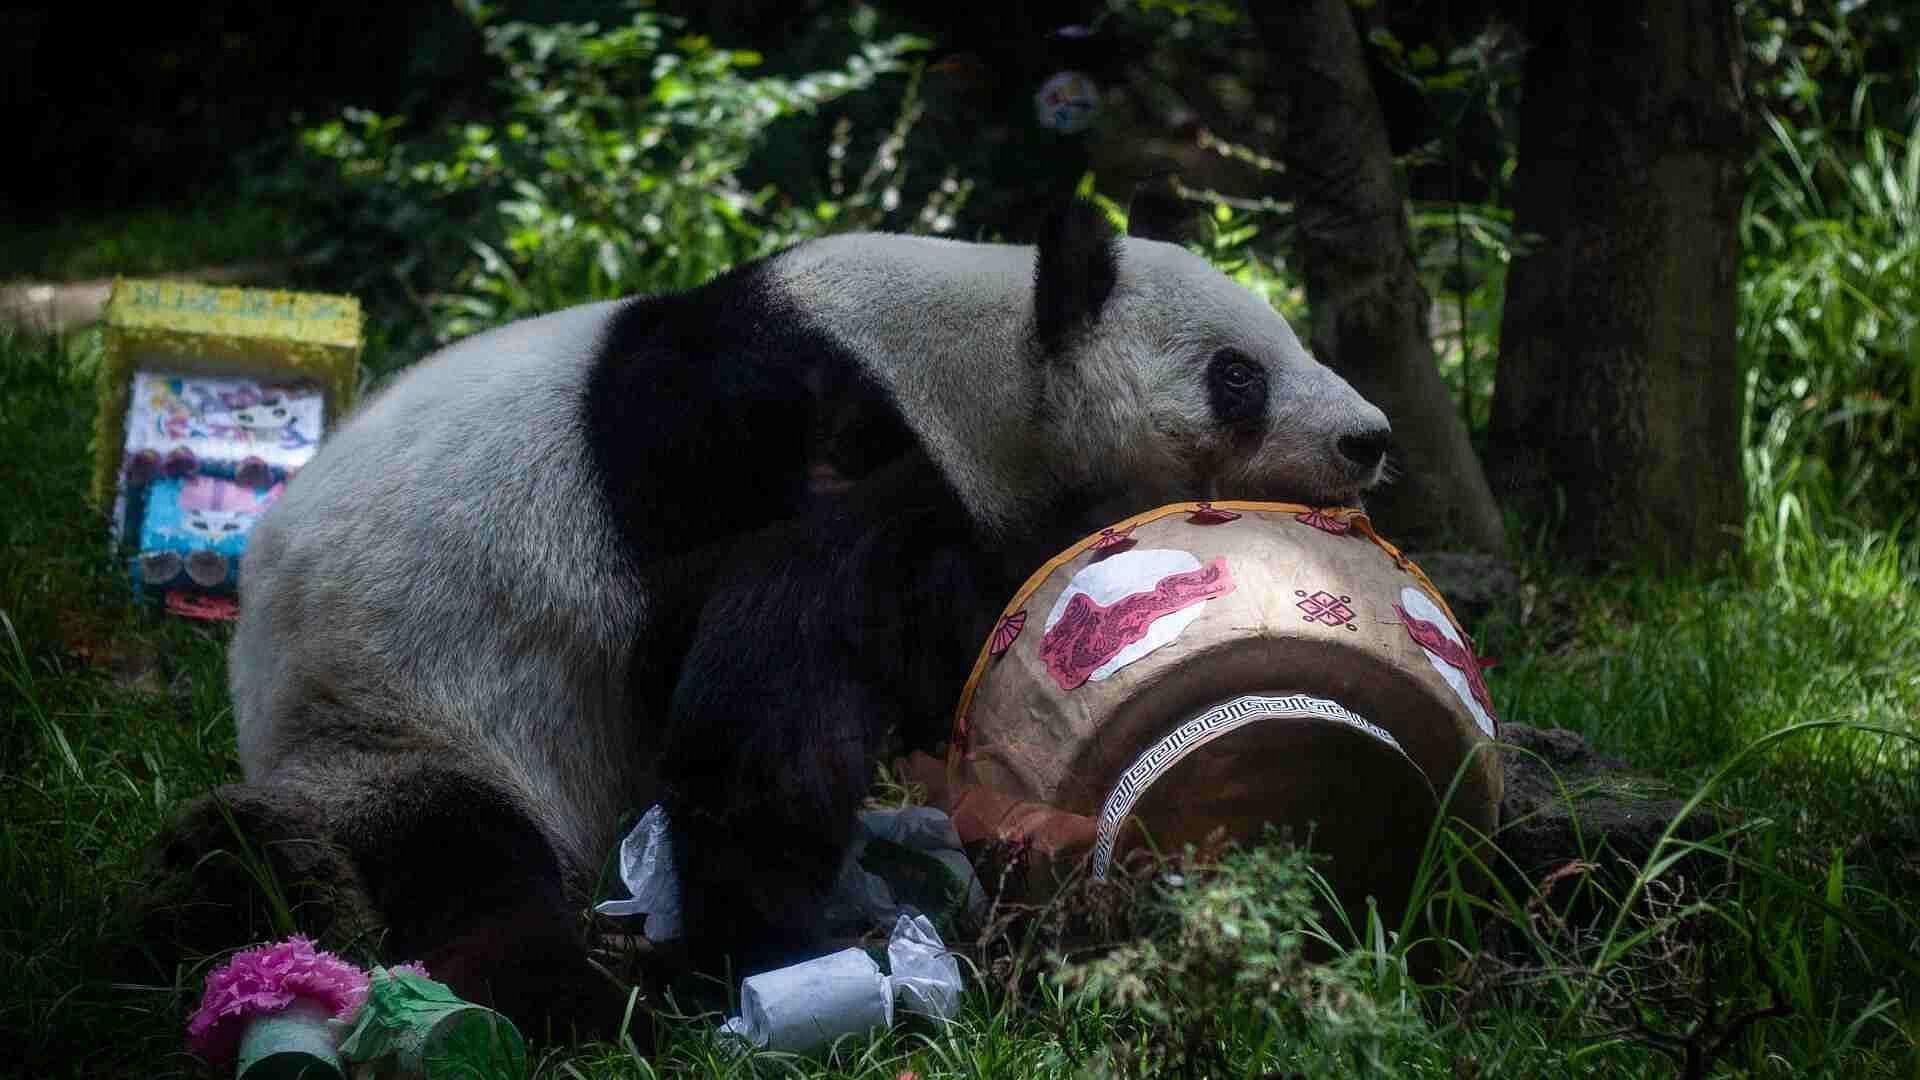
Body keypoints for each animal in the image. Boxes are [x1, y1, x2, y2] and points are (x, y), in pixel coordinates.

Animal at [133, 199, 1391, 1035]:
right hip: (408, 709)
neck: (970, 362)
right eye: (1239, 374)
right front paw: (780, 931)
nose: (1369, 438)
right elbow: (776, 669)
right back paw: (566, 990)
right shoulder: (767, 432)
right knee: (462, 863)